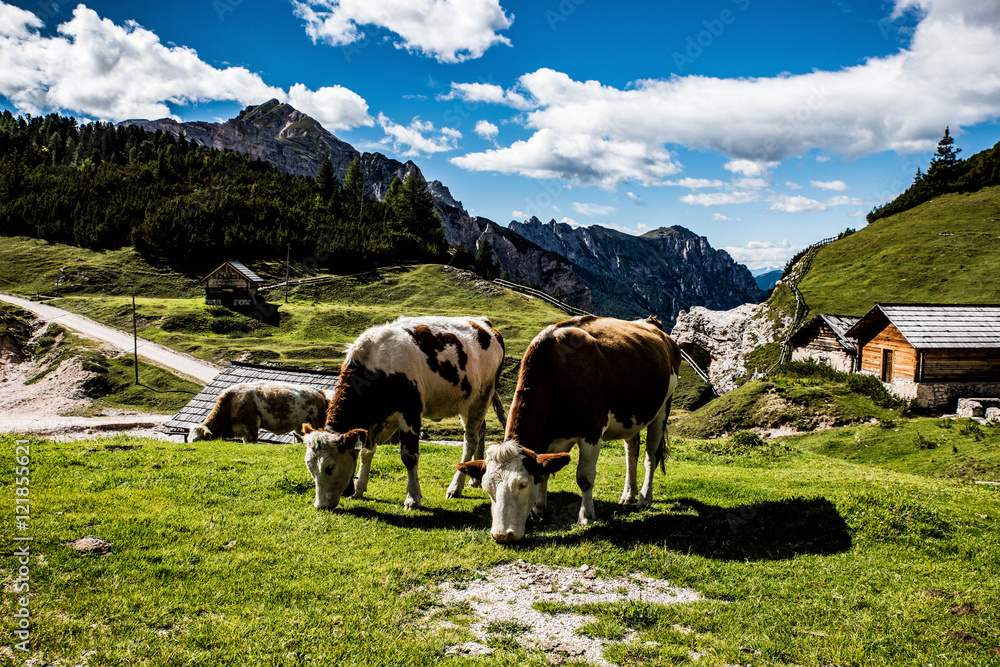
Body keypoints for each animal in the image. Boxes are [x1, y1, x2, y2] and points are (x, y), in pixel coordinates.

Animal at [189, 384, 326, 446]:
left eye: (197, 441)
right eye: (189, 440)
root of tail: (317, 391)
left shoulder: (252, 425)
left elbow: (253, 442)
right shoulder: (244, 432)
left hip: (316, 422)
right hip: (300, 427)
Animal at [302, 318, 508, 512]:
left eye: (330, 467)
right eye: (310, 468)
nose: (321, 505)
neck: (378, 365)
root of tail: (483, 323)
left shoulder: (410, 412)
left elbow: (409, 456)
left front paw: (412, 498)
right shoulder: (374, 422)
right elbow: (366, 452)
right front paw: (359, 489)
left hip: (481, 396)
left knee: (470, 441)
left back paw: (455, 487)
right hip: (466, 402)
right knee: (480, 431)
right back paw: (475, 479)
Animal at [458, 318, 684, 544]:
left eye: (522, 484)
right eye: (487, 488)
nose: (502, 535)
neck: (556, 370)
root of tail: (652, 323)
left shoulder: (592, 431)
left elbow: (584, 478)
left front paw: (586, 516)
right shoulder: (547, 440)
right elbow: (543, 473)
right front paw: (539, 510)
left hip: (663, 408)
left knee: (651, 456)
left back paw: (644, 497)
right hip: (631, 416)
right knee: (632, 451)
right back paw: (629, 494)